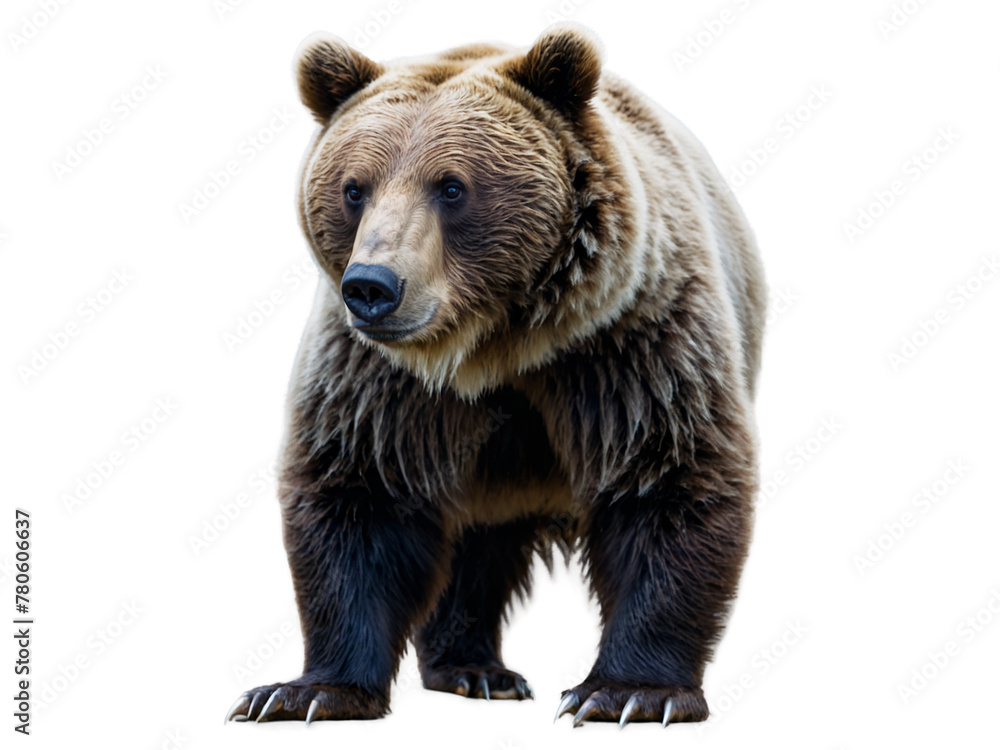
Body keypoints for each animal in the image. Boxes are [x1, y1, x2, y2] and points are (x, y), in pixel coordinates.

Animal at [225, 23, 766, 728]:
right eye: (354, 187)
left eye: (451, 186)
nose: (372, 287)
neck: (492, 351)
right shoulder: (379, 382)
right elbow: (358, 494)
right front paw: (305, 692)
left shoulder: (631, 348)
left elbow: (668, 478)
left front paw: (627, 692)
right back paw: (474, 669)